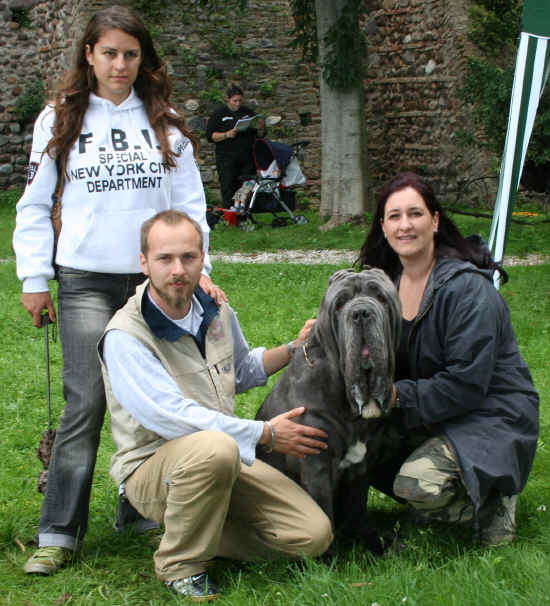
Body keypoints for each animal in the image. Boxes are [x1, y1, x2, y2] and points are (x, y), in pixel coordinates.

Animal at [256, 268, 404, 552]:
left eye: (380, 297)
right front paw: (328, 558)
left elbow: (357, 508)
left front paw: (374, 541)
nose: (361, 312)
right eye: (340, 304)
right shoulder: (316, 464)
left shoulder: (361, 467)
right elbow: (323, 511)